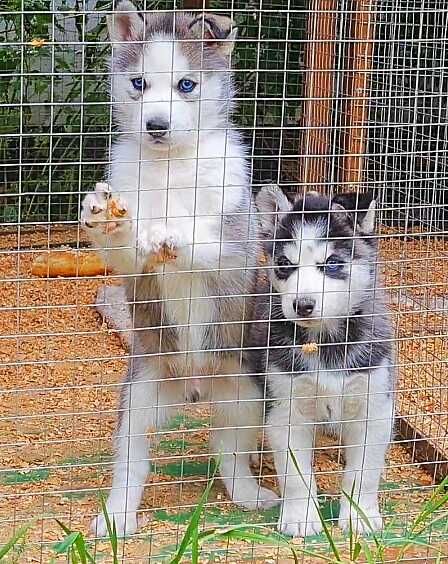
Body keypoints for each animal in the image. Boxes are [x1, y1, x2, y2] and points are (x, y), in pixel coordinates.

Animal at [80, 0, 276, 536]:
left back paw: (251, 497)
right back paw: (116, 517)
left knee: (230, 452)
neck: (170, 168)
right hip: (139, 396)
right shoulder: (133, 268)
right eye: (139, 84)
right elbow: (127, 249)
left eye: (187, 85)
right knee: (132, 463)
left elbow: (204, 239)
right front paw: (116, 224)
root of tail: (194, 383)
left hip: (245, 394)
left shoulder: (236, 241)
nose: (156, 126)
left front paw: (170, 234)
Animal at [252, 186, 396, 536]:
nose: (302, 304)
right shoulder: (286, 408)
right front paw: (301, 517)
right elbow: (295, 474)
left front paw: (359, 516)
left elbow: (363, 472)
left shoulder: (375, 405)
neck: (325, 342)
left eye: (332, 263)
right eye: (284, 264)